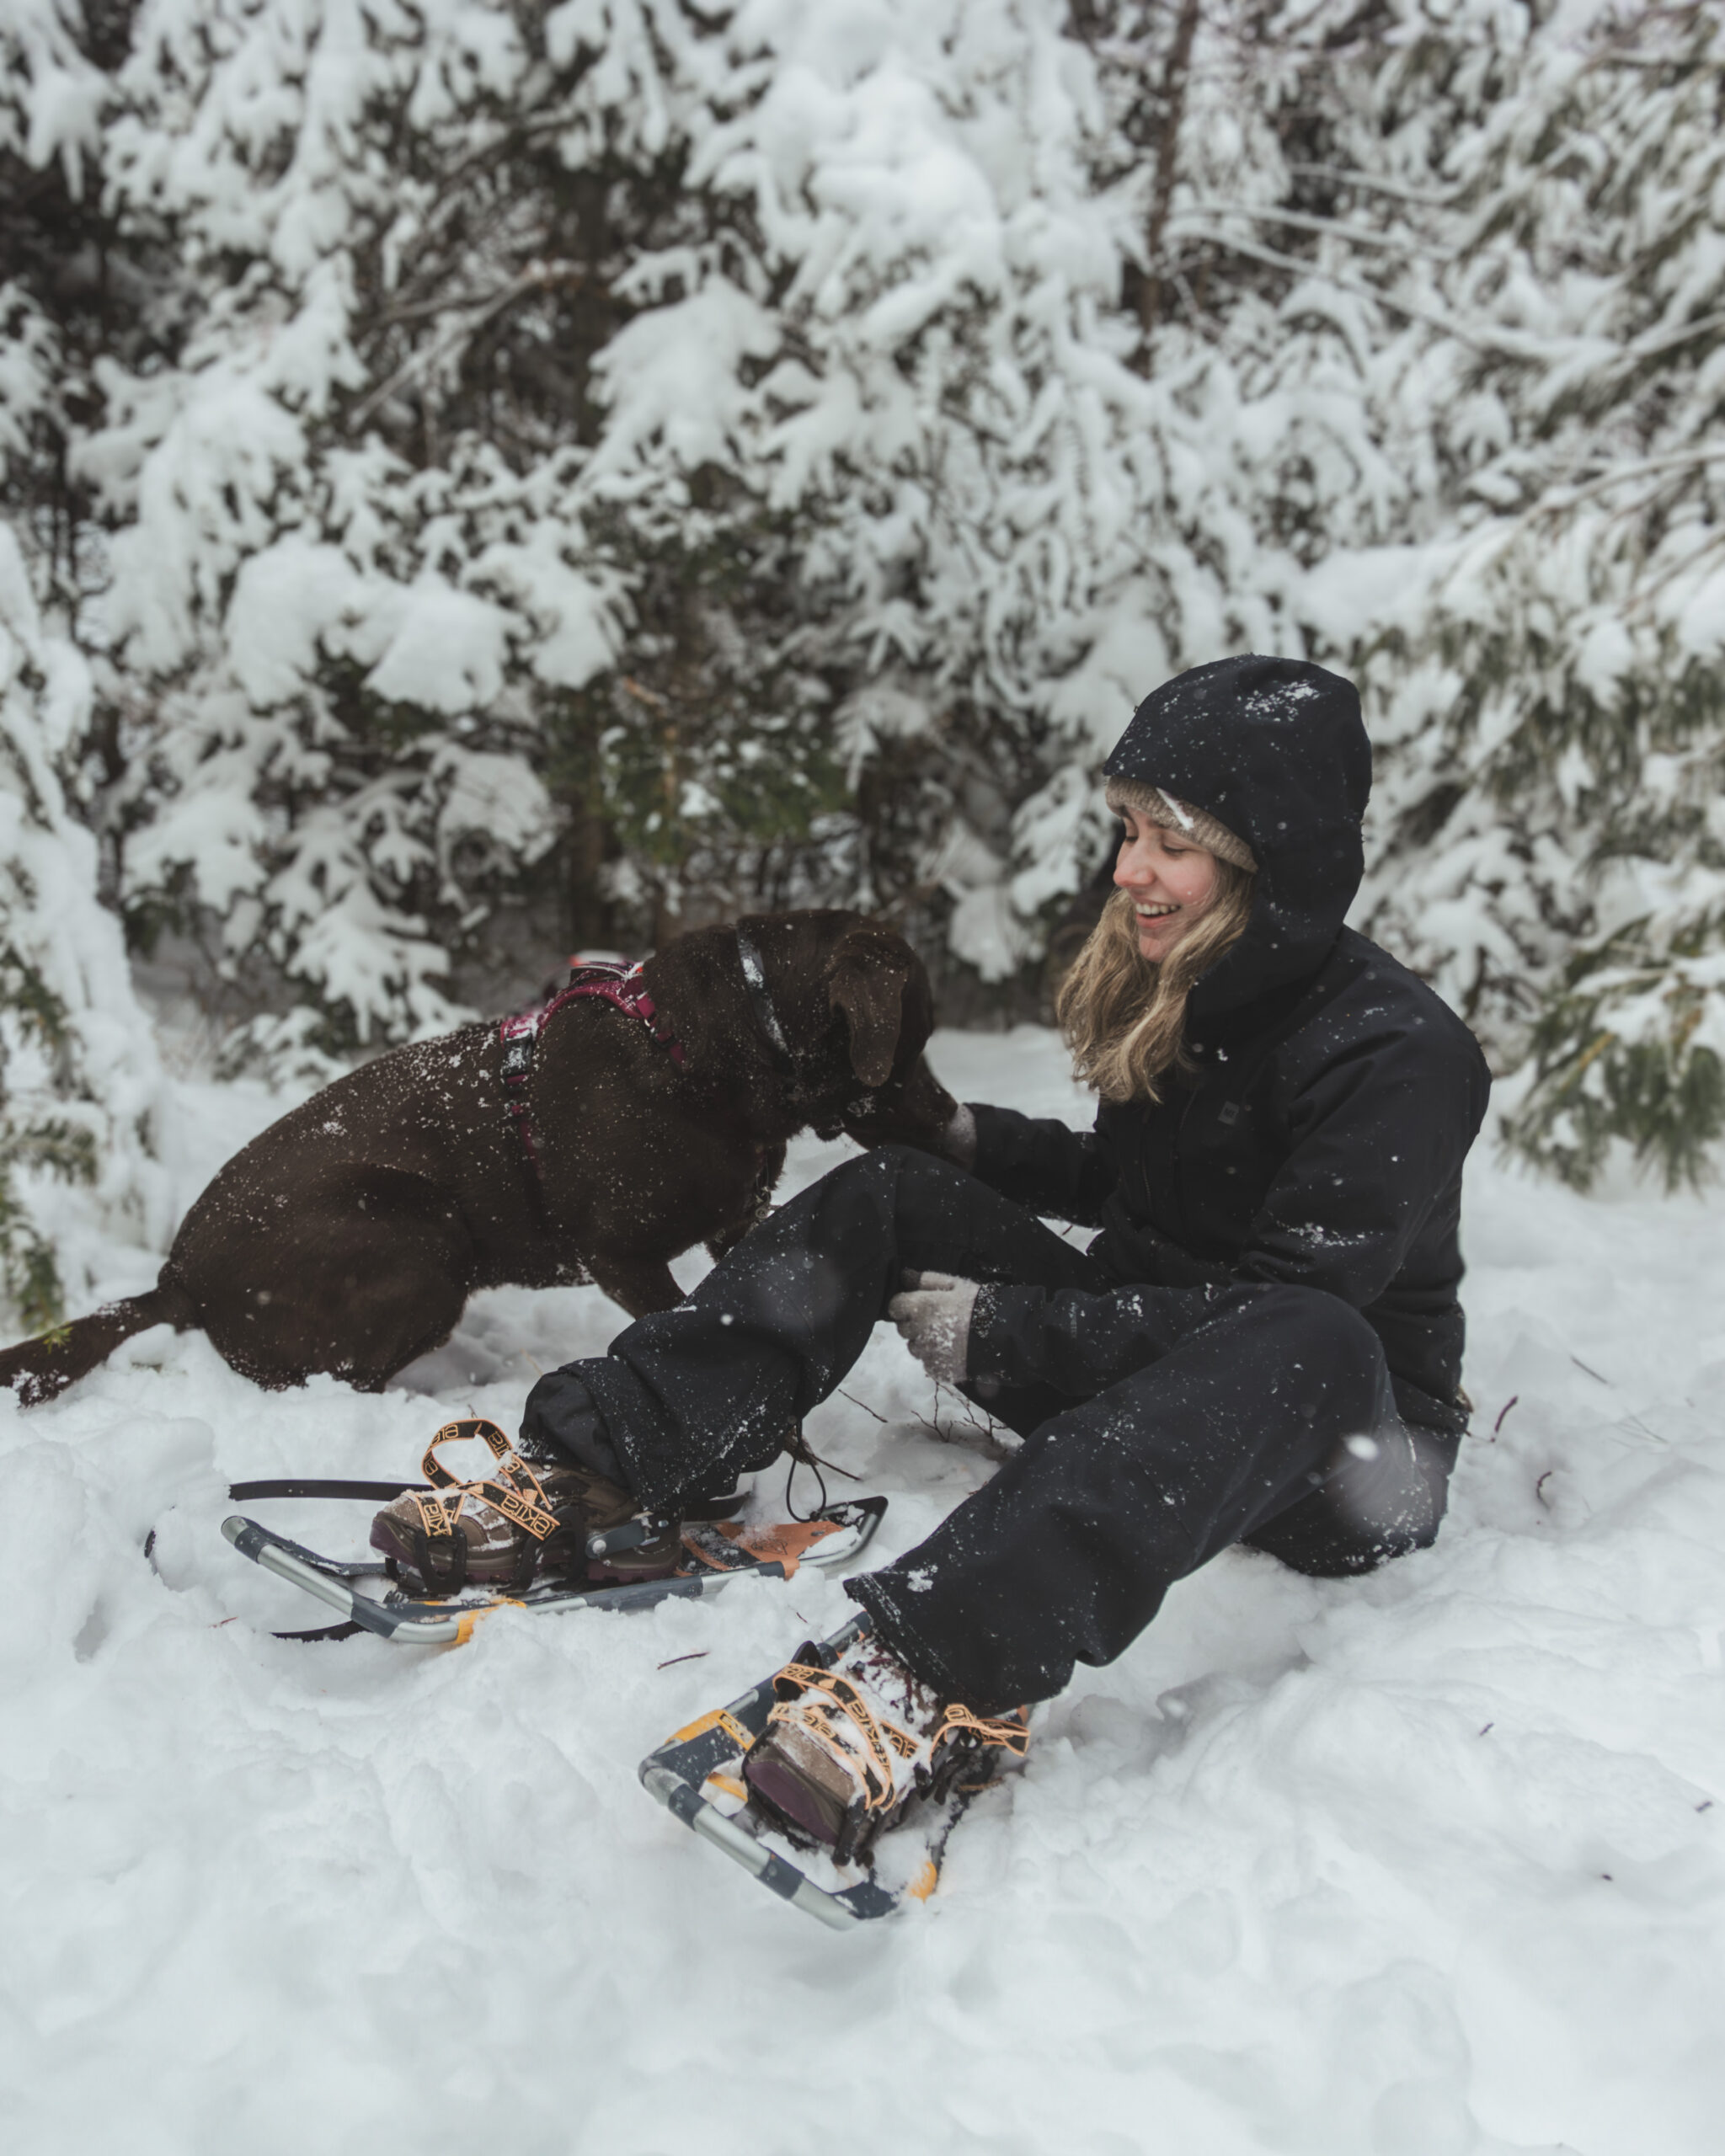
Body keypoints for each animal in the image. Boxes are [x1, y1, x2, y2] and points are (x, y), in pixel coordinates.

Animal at [0, 918, 957, 1406]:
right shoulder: (621, 1255)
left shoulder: (736, 1223)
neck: (704, 1048)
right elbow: (685, 1322)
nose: (953, 1122)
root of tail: (177, 1277)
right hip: (420, 1230)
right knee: (324, 1374)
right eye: (911, 1046)